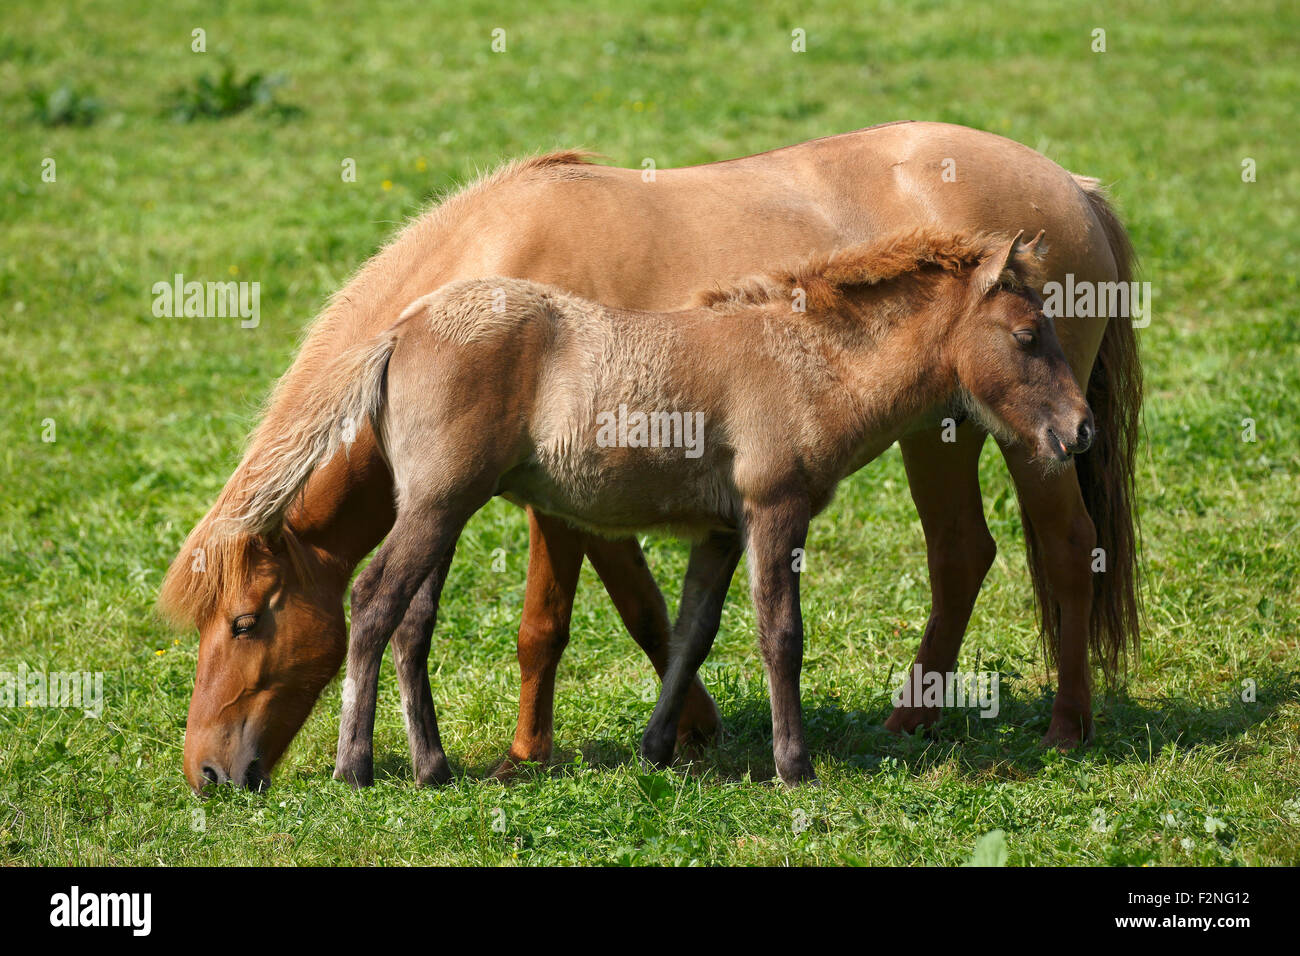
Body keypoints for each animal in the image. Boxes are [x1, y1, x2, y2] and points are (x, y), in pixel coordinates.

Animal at [159, 119, 1138, 790]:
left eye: (246, 621)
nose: (208, 773)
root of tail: (1077, 184)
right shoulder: (660, 506)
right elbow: (654, 619)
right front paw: (652, 743)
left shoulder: (638, 509)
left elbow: (631, 619)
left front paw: (645, 743)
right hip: (959, 432)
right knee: (970, 552)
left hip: (1002, 443)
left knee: (1053, 549)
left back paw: (1063, 727)